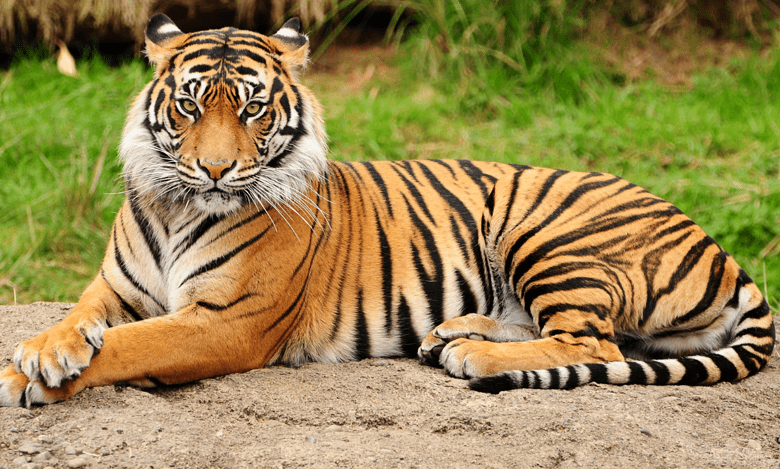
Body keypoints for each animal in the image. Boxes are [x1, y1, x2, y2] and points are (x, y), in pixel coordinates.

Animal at [0, 14, 774, 407]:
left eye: (251, 109)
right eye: (190, 106)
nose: (216, 169)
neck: (175, 206)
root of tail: (720, 247)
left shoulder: (226, 320)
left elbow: (132, 345)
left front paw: (22, 374)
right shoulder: (113, 287)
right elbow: (82, 318)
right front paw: (48, 349)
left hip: (548, 232)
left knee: (595, 343)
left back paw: (472, 353)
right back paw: (453, 333)